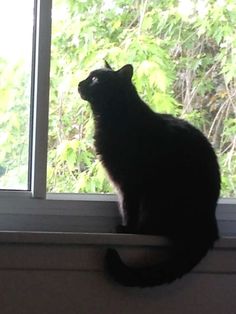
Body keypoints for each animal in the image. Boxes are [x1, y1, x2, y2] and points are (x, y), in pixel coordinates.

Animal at [78, 60, 220, 288]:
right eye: (89, 77)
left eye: (95, 79)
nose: (80, 83)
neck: (115, 118)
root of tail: (209, 228)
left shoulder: (129, 183)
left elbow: (128, 207)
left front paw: (127, 229)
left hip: (157, 197)